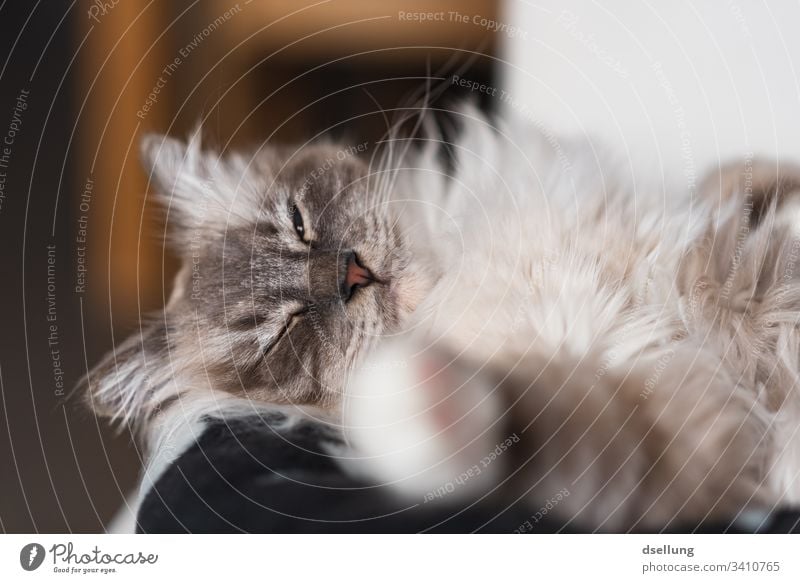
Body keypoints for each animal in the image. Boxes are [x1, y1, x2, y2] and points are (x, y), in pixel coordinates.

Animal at [83, 106, 800, 532]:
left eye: (298, 223)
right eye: (283, 331)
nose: (350, 276)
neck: (465, 271)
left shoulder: (714, 252)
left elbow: (759, 218)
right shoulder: (658, 414)